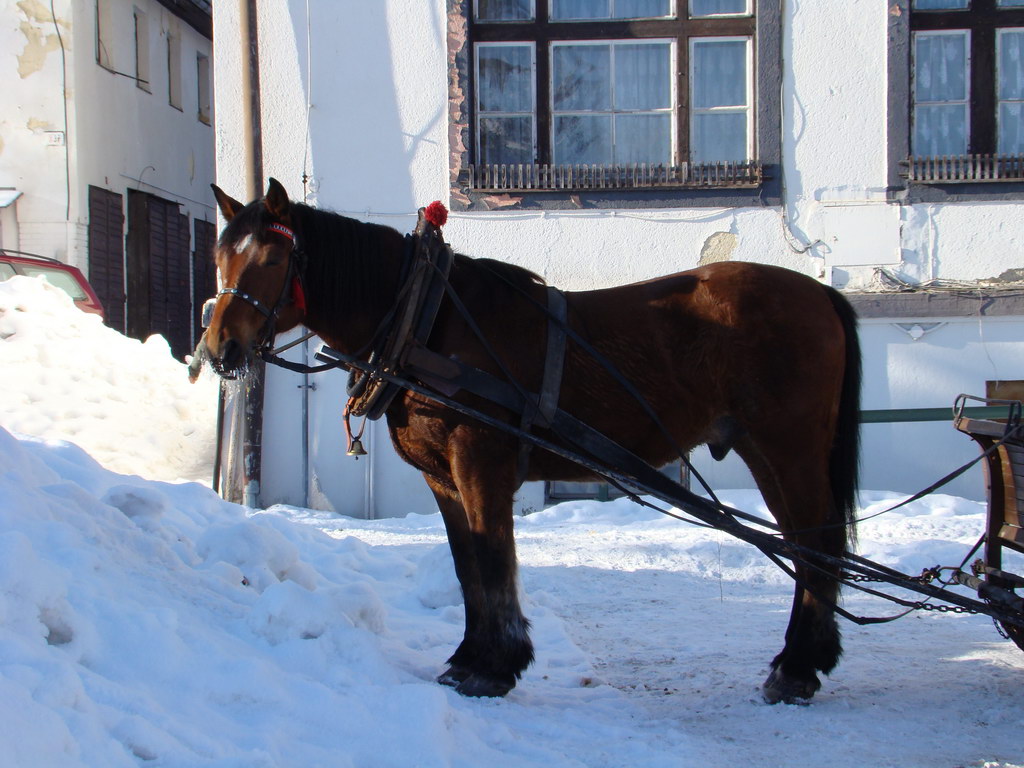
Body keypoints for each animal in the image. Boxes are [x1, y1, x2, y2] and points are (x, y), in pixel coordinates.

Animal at [203, 179, 860, 704]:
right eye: (220, 256)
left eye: (271, 258)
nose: (218, 348)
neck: (429, 320)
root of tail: (819, 294)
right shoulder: (443, 476)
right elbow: (467, 565)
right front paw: (469, 658)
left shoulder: (480, 464)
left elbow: (495, 559)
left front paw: (496, 667)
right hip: (769, 452)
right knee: (809, 545)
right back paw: (805, 660)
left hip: (788, 448)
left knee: (816, 545)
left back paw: (797, 669)